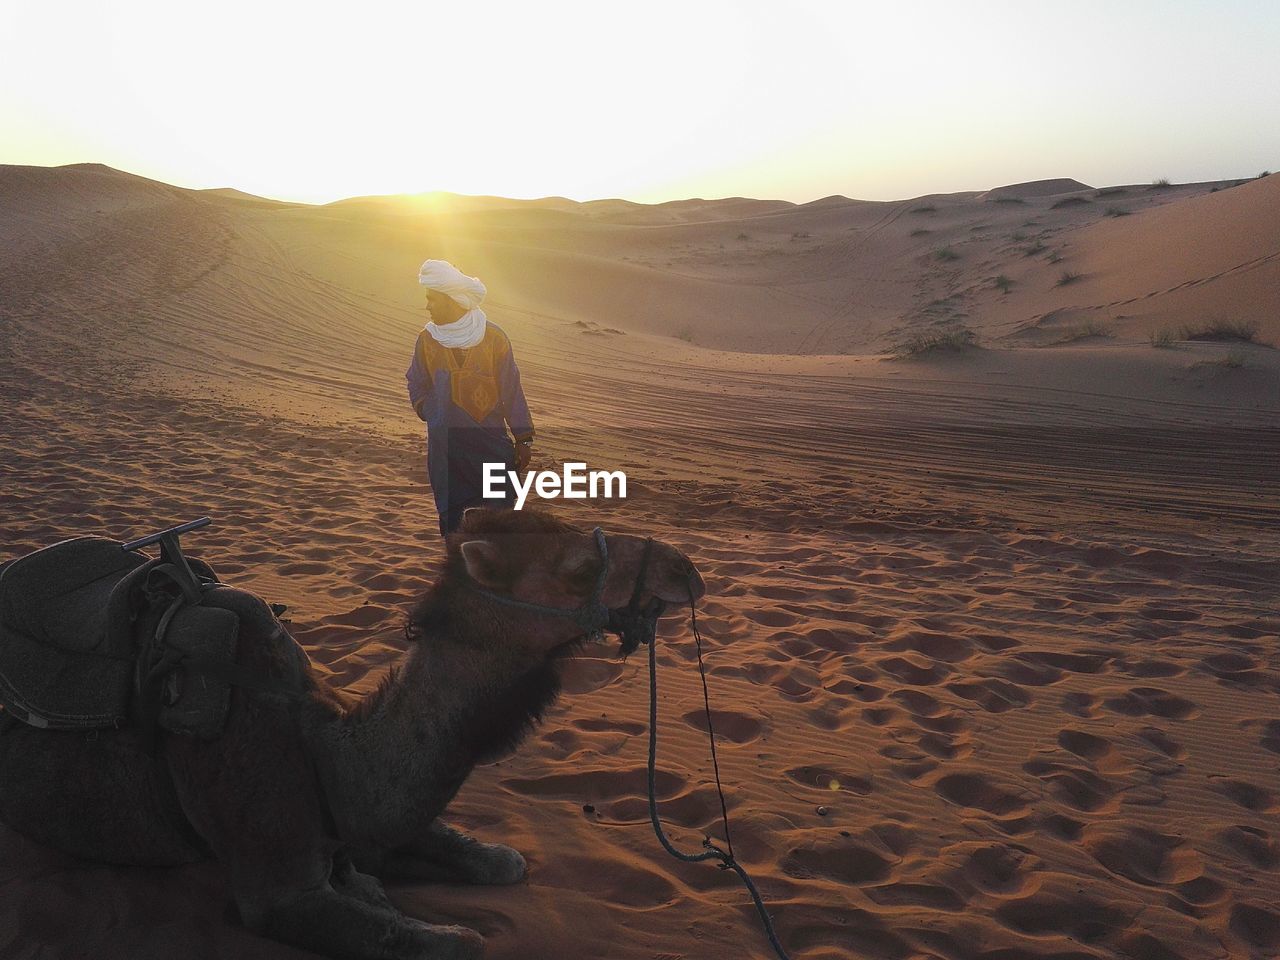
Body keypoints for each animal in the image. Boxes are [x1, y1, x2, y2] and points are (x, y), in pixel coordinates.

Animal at [0, 506, 706, 957]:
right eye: (580, 568)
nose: (686, 569)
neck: (323, 748)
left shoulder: (362, 823)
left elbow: (503, 862)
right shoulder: (279, 890)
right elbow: (458, 943)